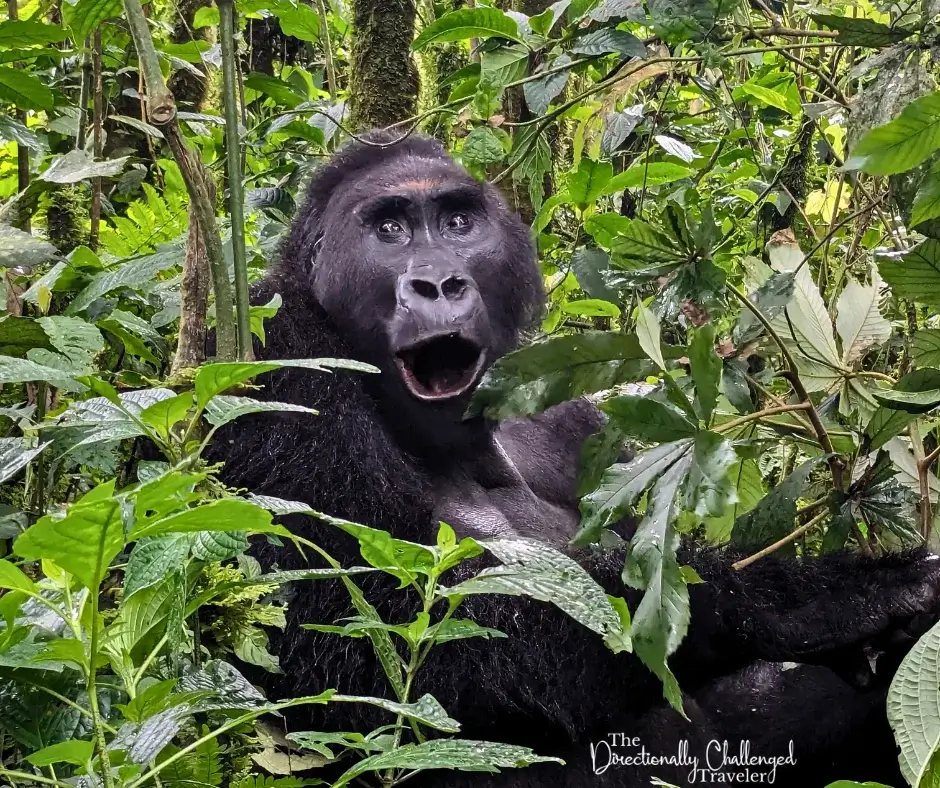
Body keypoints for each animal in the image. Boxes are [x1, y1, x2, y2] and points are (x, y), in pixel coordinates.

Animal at [209, 134, 940, 788]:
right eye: (388, 229)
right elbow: (374, 647)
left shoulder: (577, 423)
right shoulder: (276, 374)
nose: (439, 283)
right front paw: (806, 602)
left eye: (457, 223)